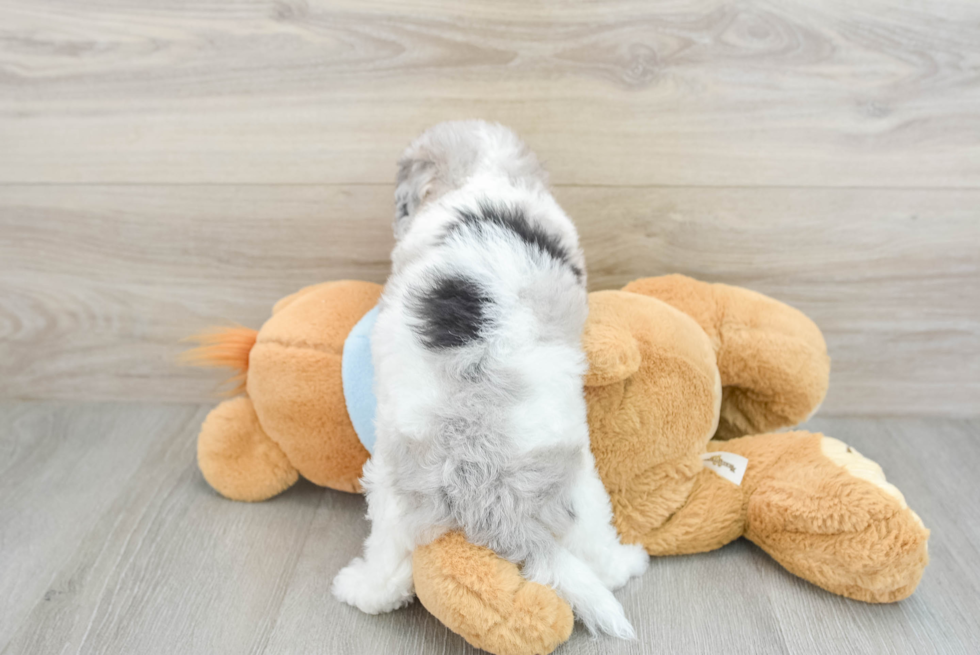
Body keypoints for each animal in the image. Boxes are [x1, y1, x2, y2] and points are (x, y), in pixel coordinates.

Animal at [334, 120, 648, 640]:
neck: (484, 172)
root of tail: (486, 484)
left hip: (393, 490)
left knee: (389, 566)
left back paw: (357, 588)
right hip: (582, 487)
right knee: (597, 554)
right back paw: (628, 562)